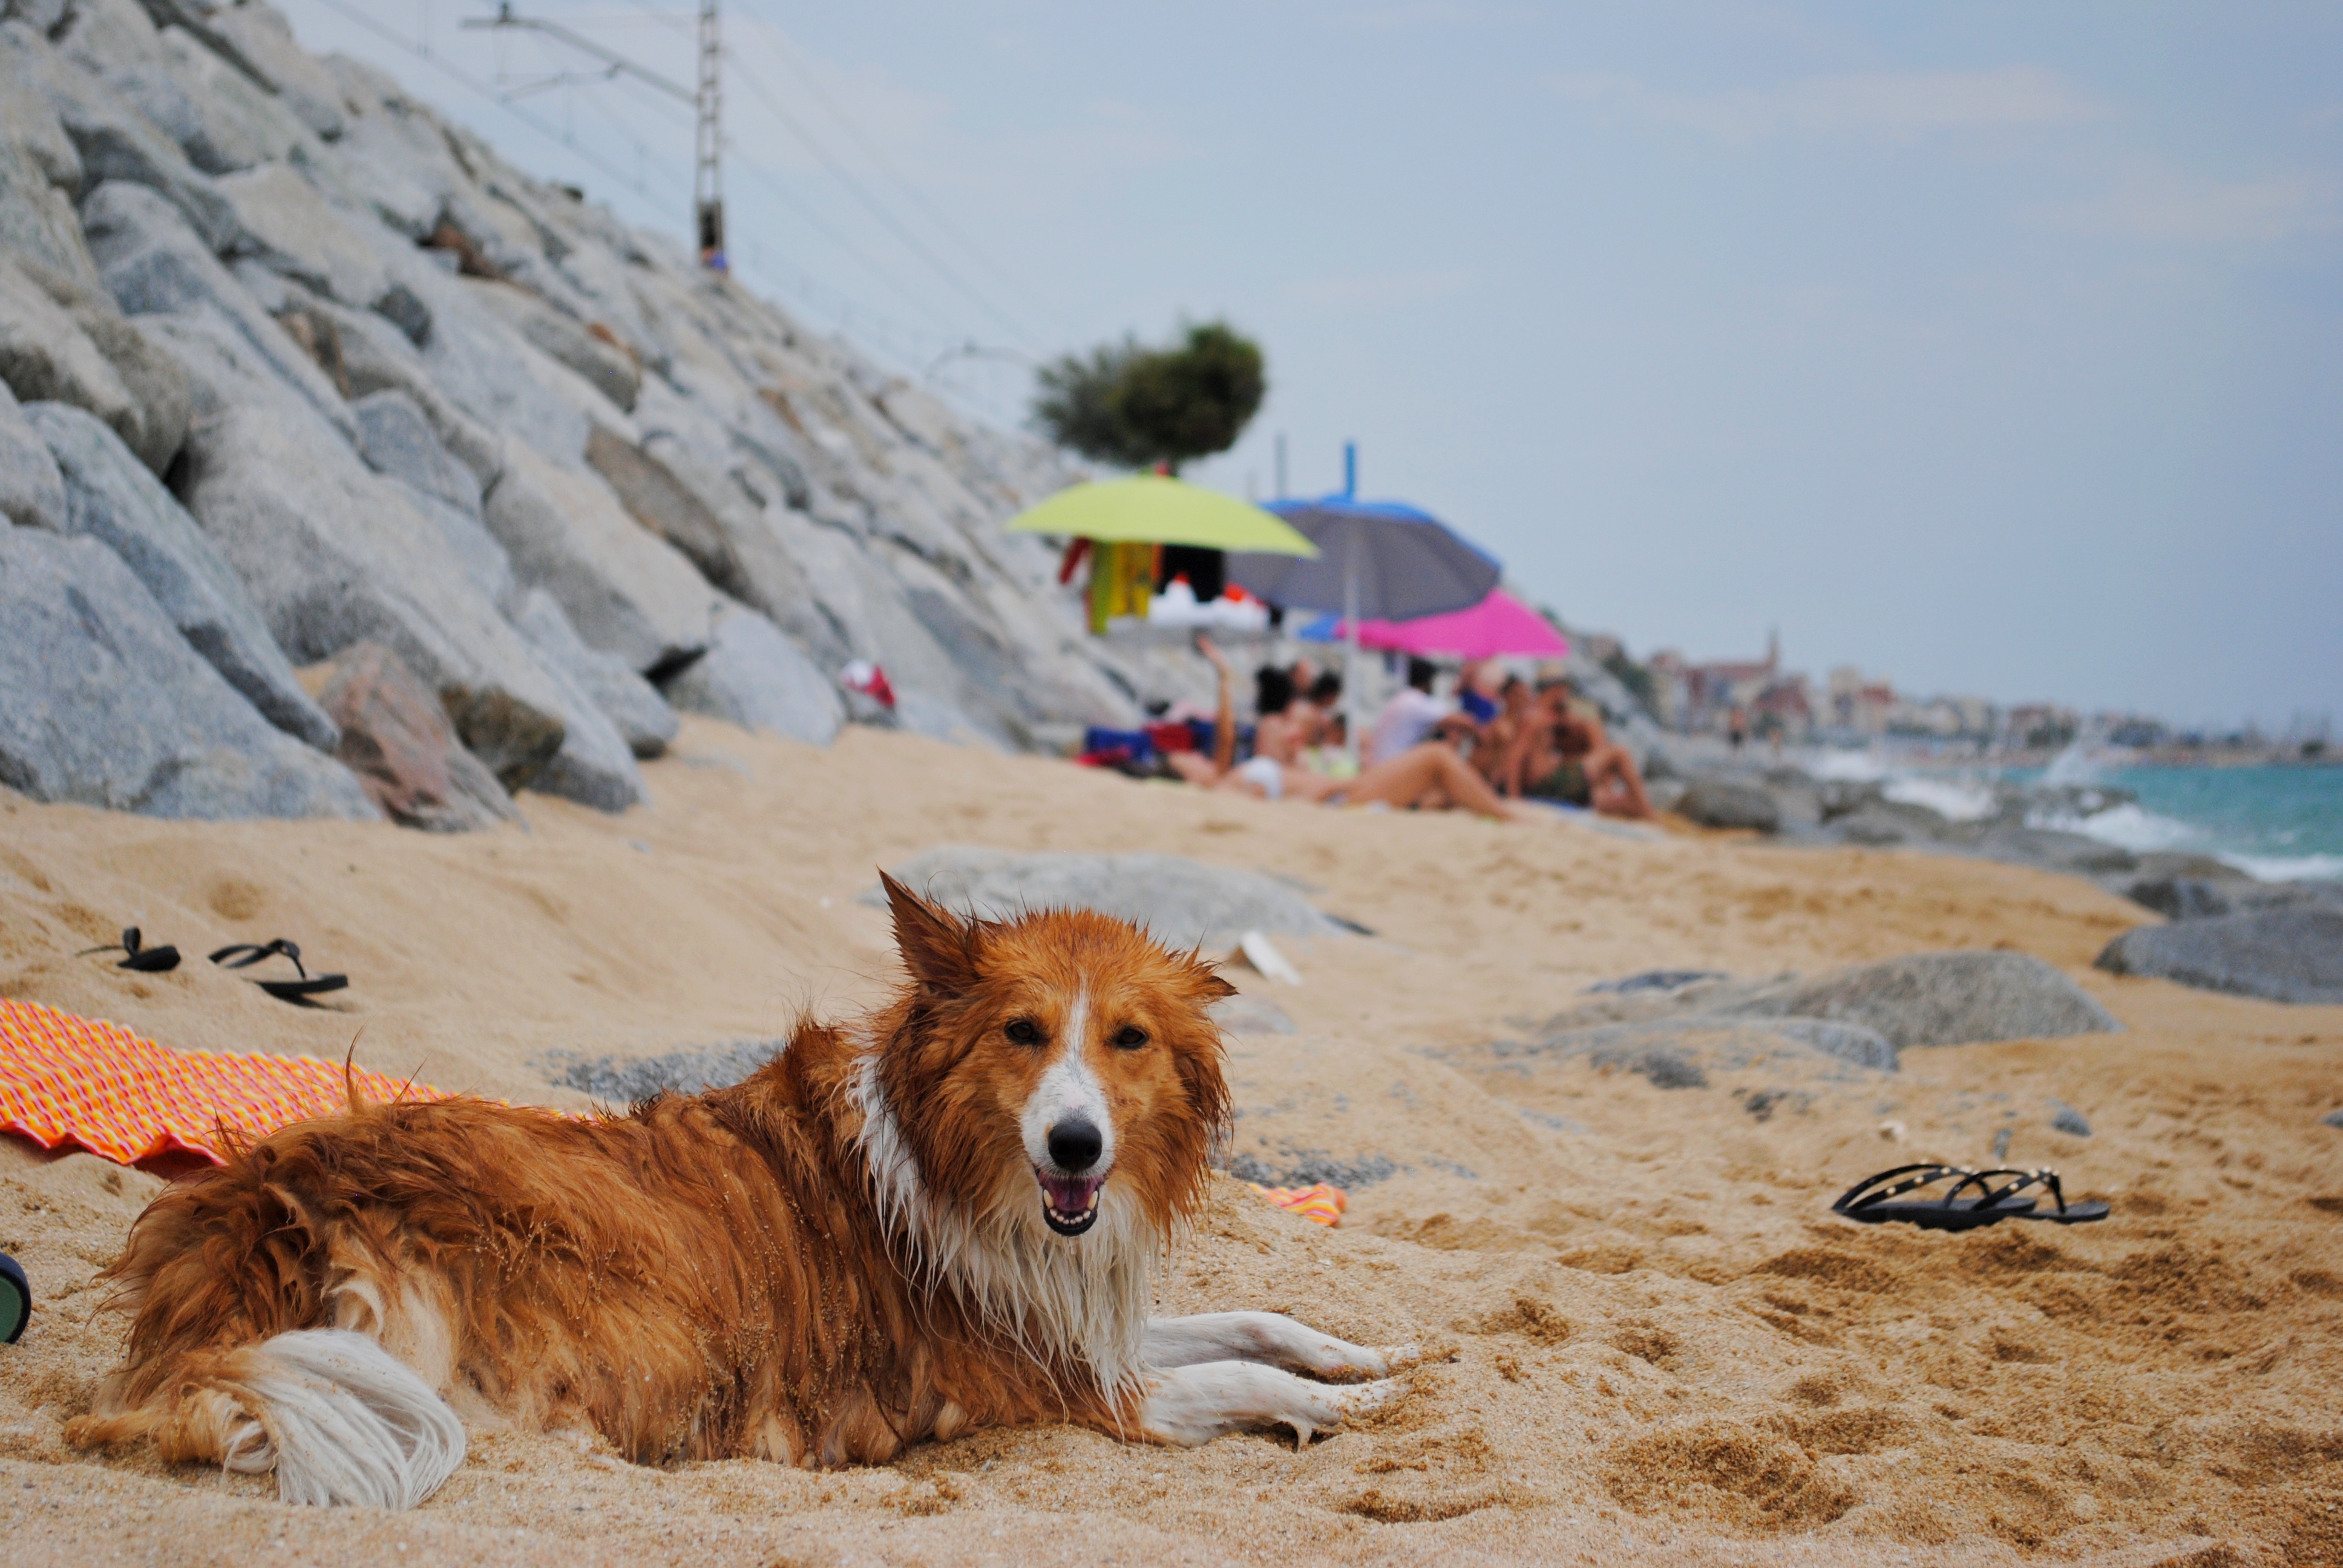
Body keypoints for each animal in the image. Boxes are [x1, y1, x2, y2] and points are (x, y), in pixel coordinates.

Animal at [64, 877, 1406, 1500]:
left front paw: (1355, 1357)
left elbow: (1247, 1319)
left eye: (1127, 1039)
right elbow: (1232, 1376)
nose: (1075, 1146)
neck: (955, 1166)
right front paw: (1333, 1406)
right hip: (644, 1319)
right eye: (1023, 1033)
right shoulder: (1061, 1385)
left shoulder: (1076, 1314)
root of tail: (257, 1211)